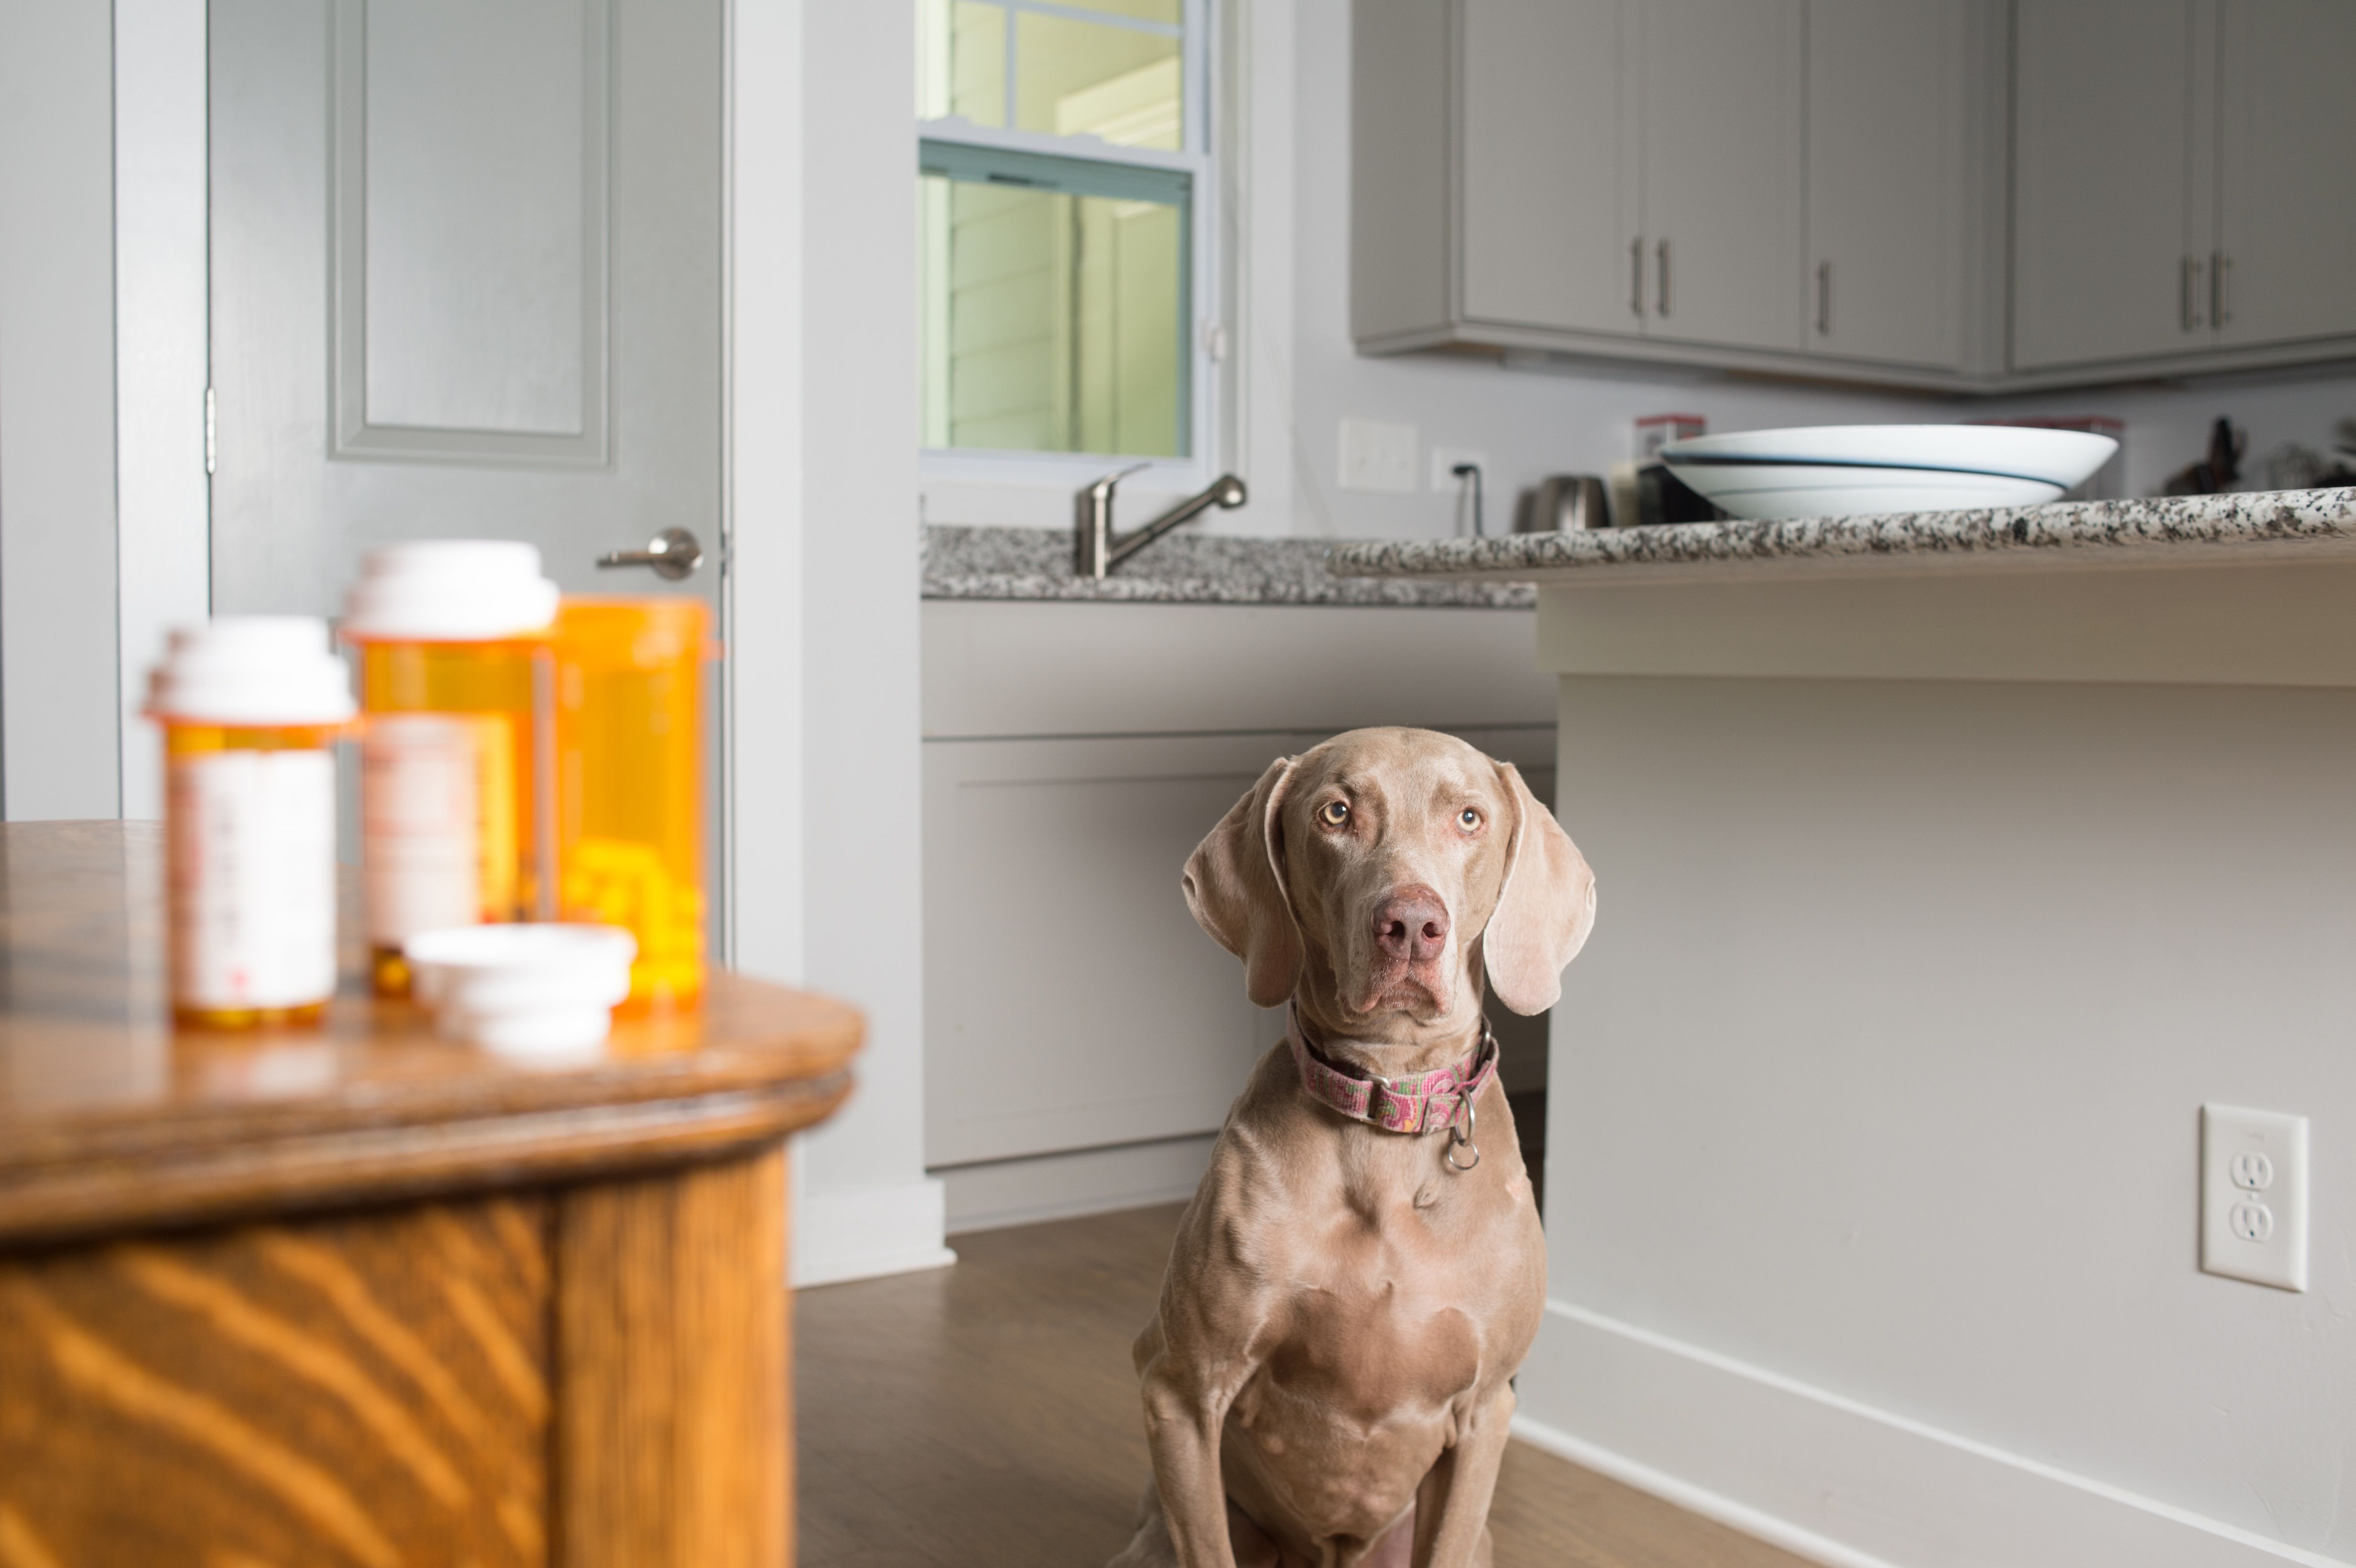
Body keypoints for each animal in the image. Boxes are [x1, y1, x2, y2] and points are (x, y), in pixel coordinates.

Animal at [1107, 725, 1592, 1554]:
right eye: (1336, 813)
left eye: (1469, 818)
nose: (1413, 925)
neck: (1385, 1119)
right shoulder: (1179, 1388)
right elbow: (1208, 1539)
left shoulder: (1486, 1411)